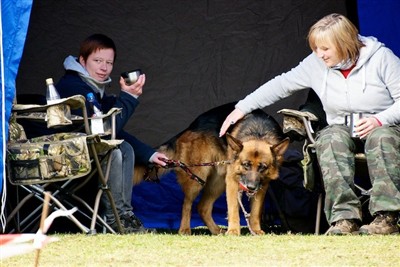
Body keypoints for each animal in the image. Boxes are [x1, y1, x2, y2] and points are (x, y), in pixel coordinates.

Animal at [134, 102, 288, 237]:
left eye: (263, 167)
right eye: (246, 165)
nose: (250, 187)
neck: (258, 133)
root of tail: (190, 127)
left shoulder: (263, 185)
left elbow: (256, 211)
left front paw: (256, 230)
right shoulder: (232, 181)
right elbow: (233, 209)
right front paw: (233, 231)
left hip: (218, 183)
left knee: (202, 207)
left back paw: (216, 231)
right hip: (197, 179)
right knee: (187, 204)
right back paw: (184, 229)